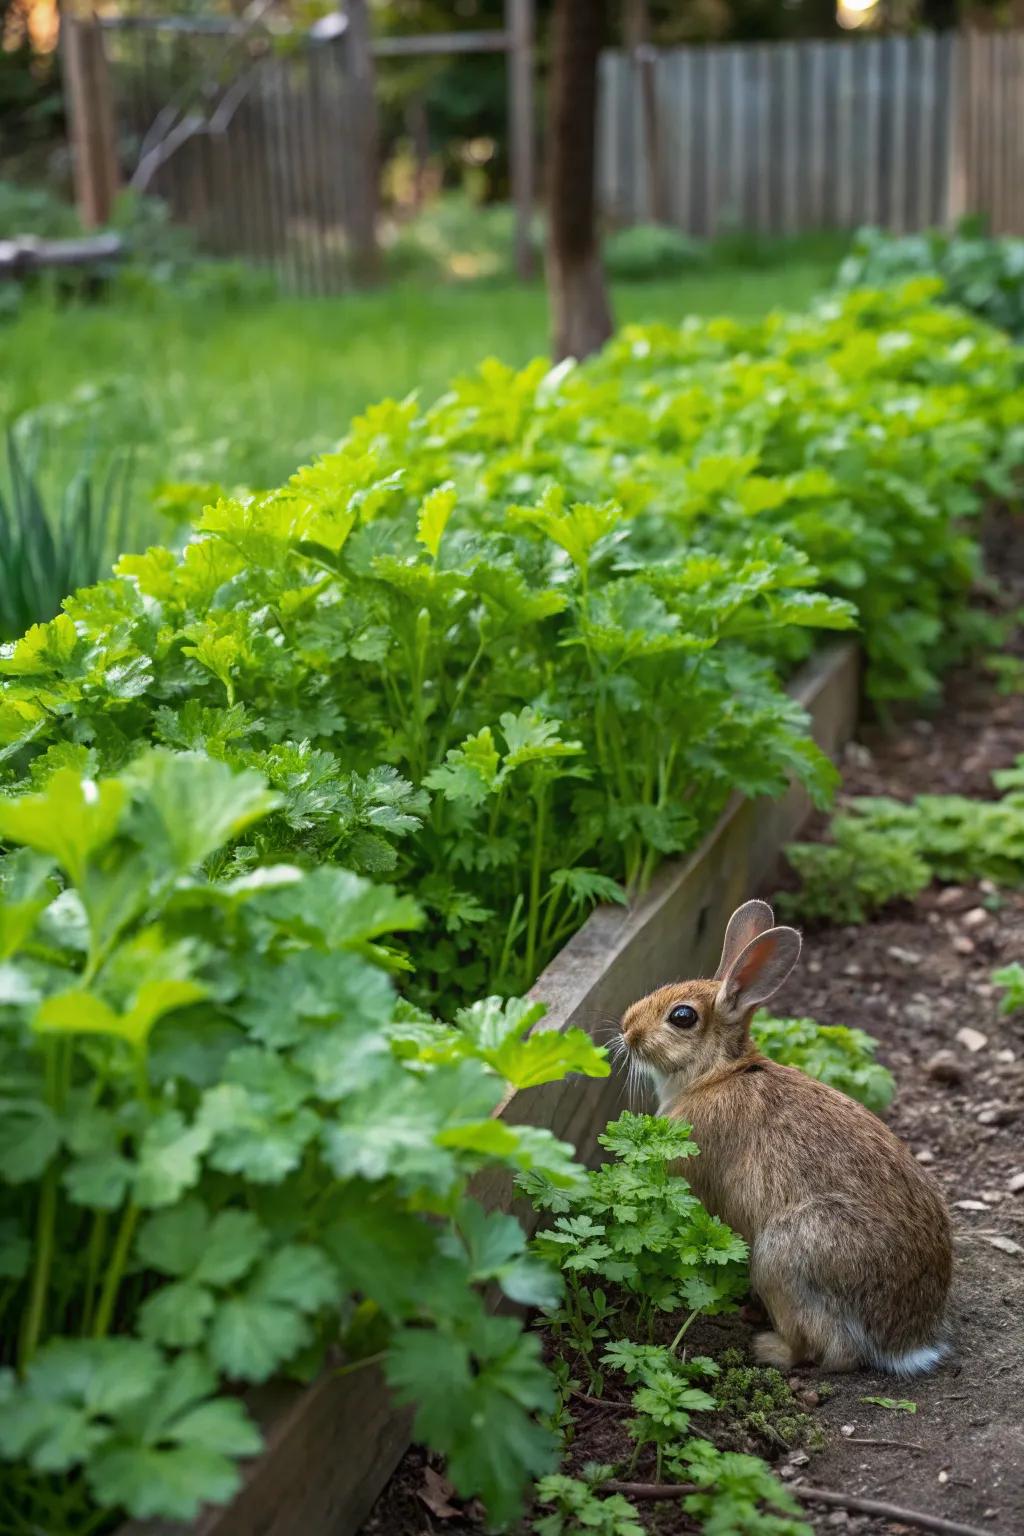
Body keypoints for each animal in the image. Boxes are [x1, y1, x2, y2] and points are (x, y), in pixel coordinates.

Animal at [618, 898, 952, 1376]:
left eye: (682, 1016)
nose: (627, 1029)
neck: (717, 1073)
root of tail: (906, 1345)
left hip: (783, 1257)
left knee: (829, 1351)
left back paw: (767, 1347)